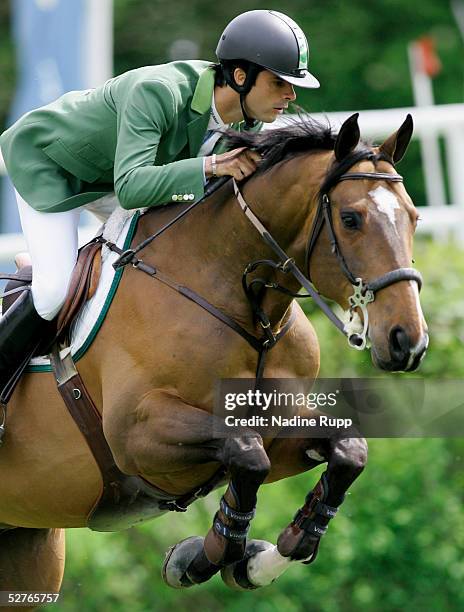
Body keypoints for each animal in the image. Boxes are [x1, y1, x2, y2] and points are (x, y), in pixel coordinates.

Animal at [0, 113, 428, 604]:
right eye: (351, 218)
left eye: (414, 217)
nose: (407, 340)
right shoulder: (135, 435)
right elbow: (245, 453)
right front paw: (203, 557)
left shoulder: (279, 429)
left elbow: (347, 451)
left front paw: (261, 559)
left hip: (27, 548)